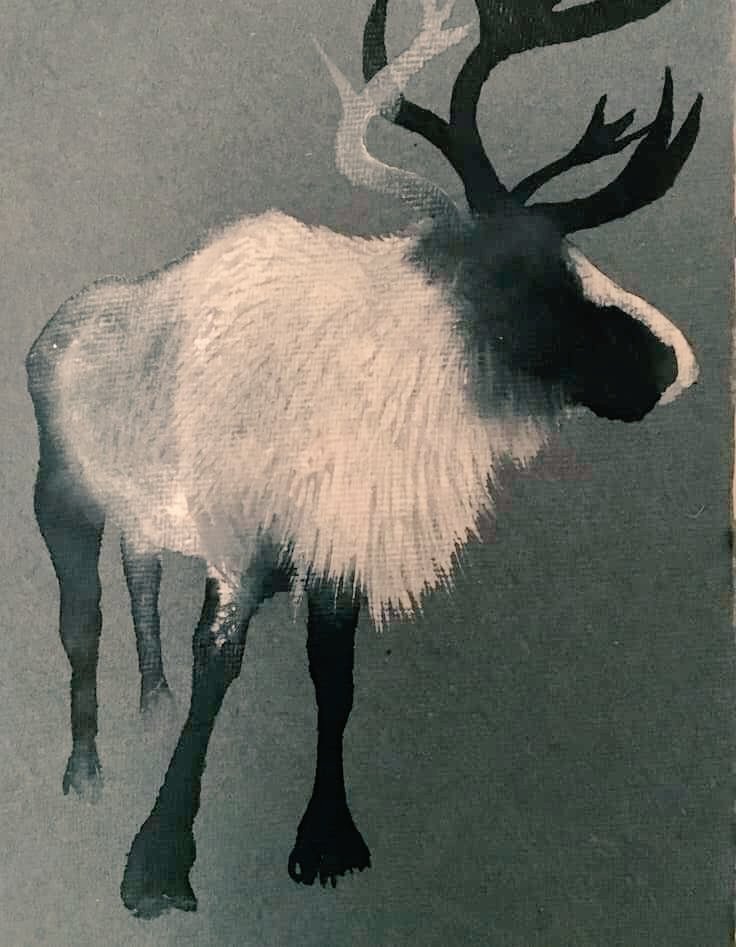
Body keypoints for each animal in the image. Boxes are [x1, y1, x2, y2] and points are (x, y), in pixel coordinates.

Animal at [25, 0, 701, 920]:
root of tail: (49, 331)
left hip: (143, 514)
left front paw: (327, 841)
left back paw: (150, 705)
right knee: (82, 618)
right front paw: (157, 864)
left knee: (140, 573)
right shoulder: (241, 547)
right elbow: (218, 668)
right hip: (60, 493)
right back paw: (87, 768)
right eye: (527, 273)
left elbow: (334, 679)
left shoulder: (337, 546)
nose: (676, 361)